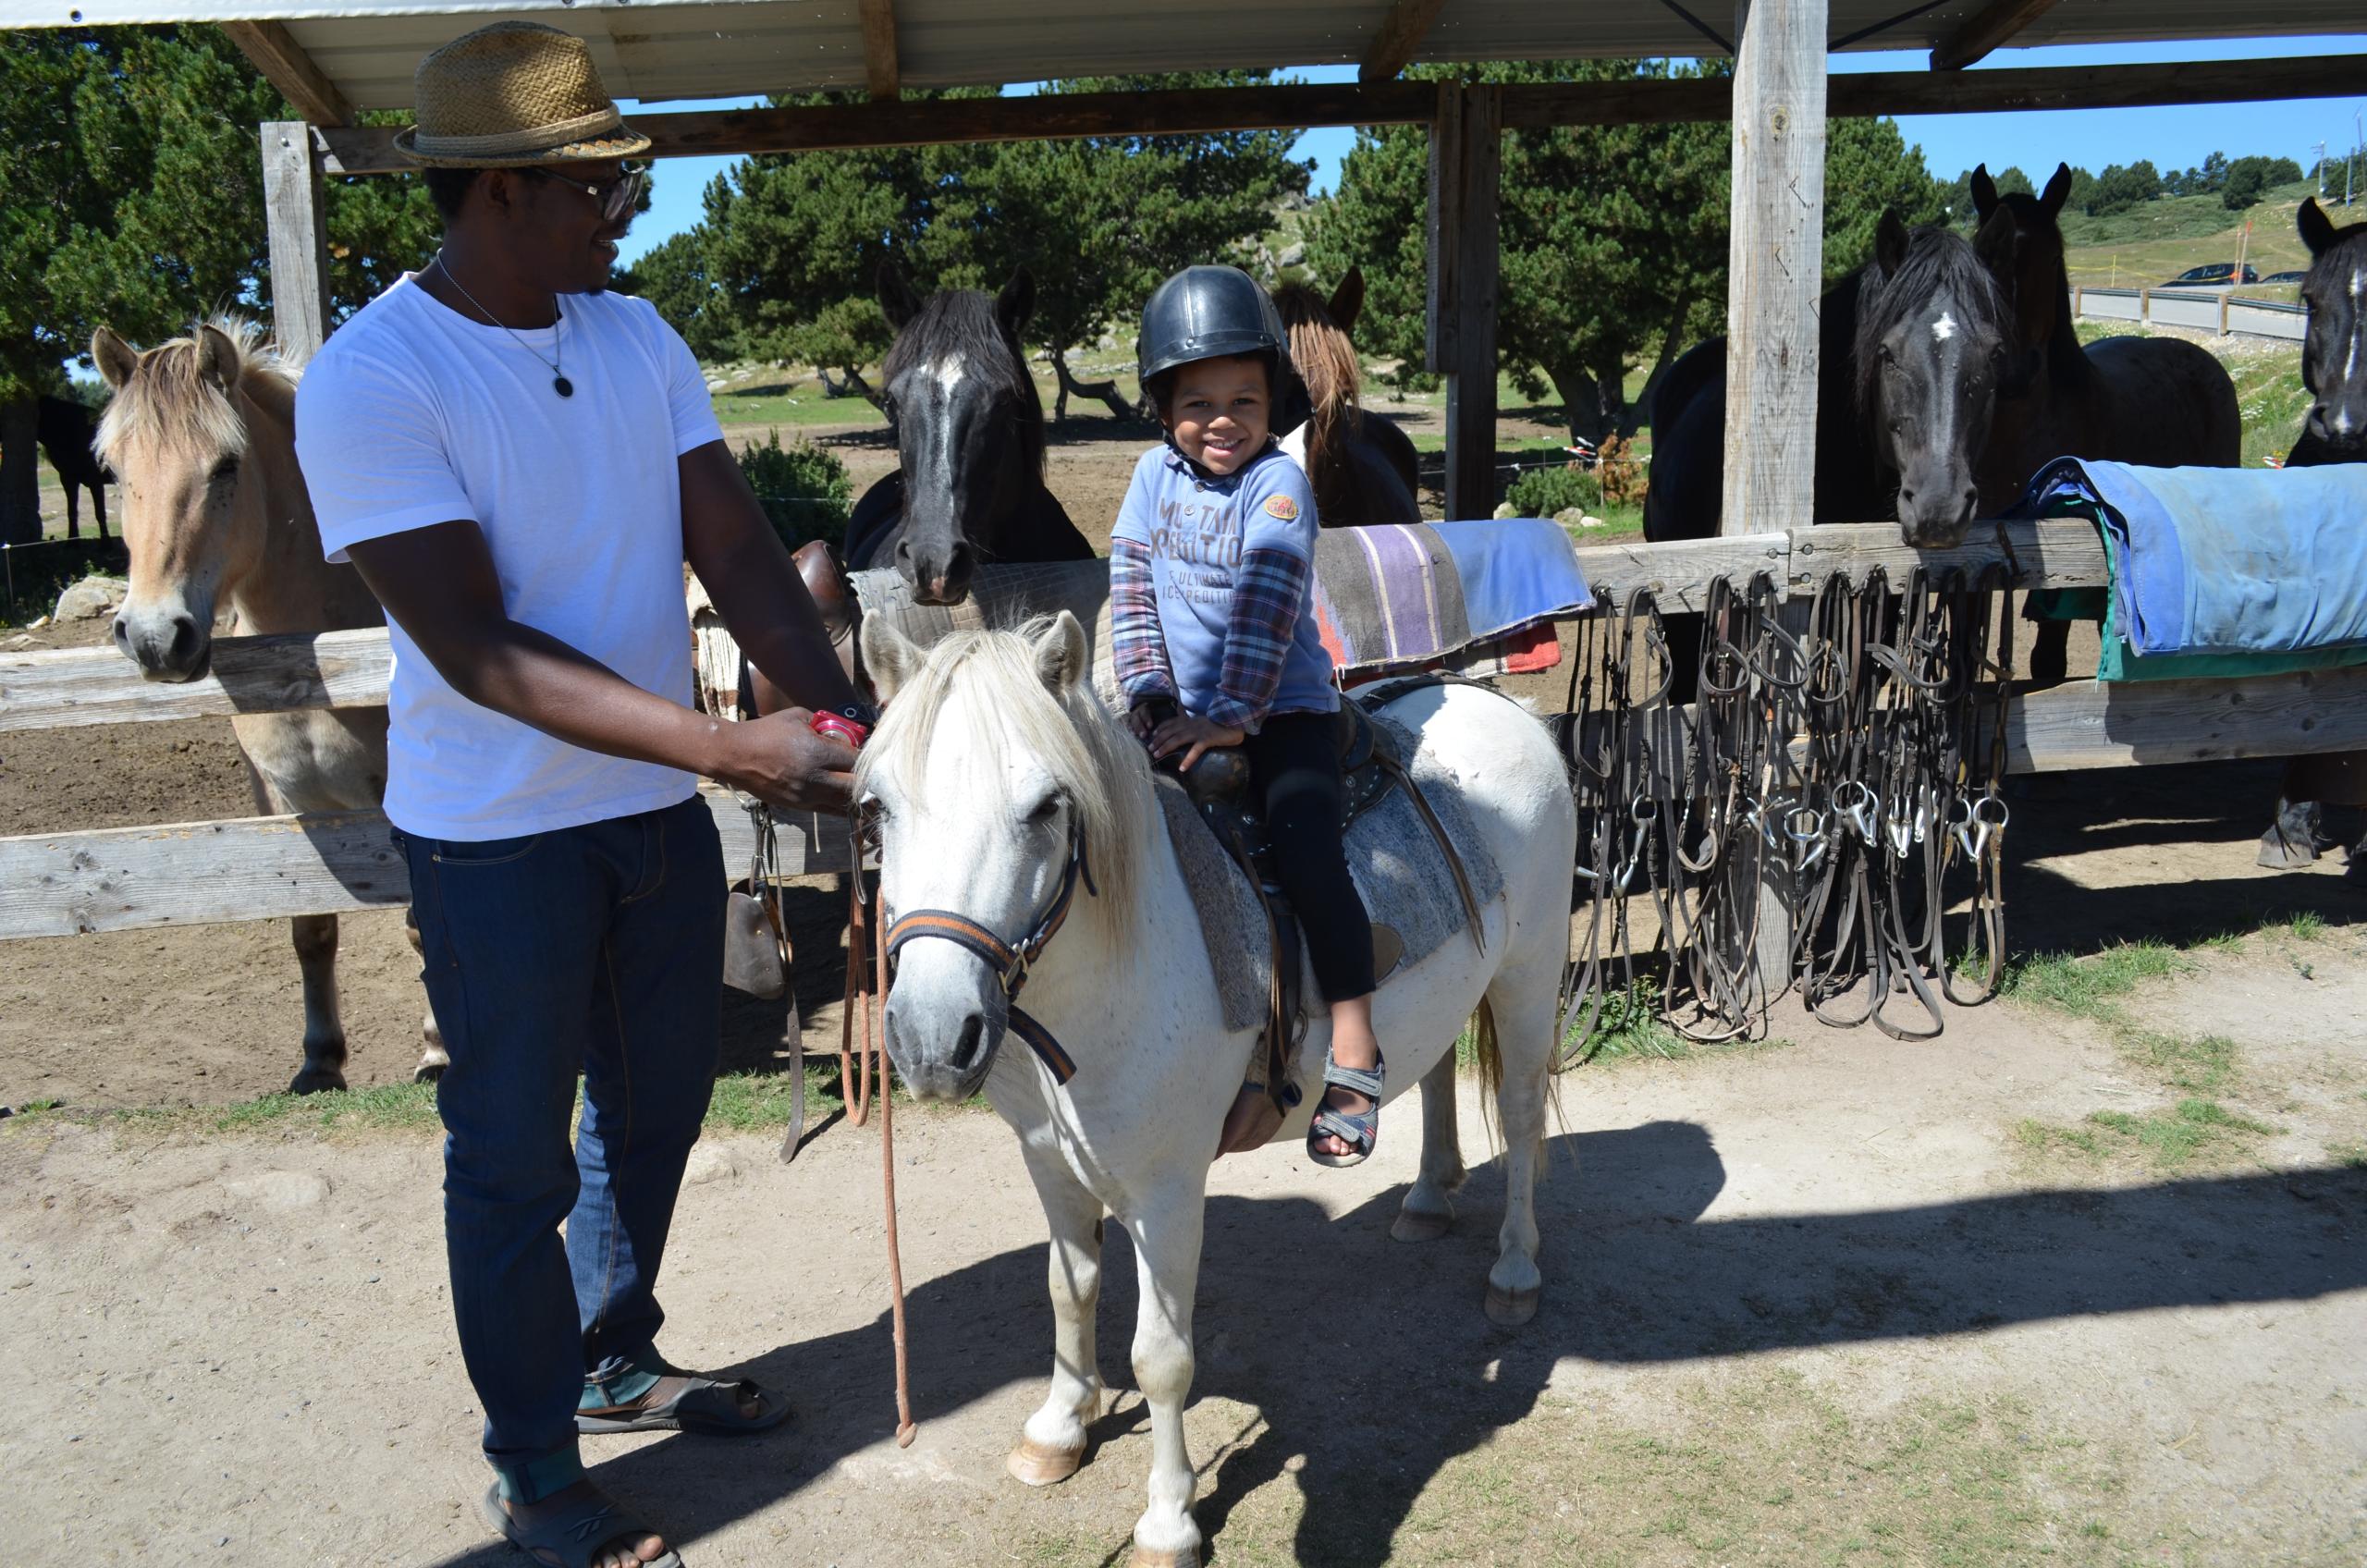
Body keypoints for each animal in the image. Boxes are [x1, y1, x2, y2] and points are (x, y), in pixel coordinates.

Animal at [90, 319, 445, 1094]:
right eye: (115, 471)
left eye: (225, 467)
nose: (155, 637)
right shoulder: (284, 805)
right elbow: (309, 929)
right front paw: (319, 1061)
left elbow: (425, 927)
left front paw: (438, 1052)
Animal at [861, 616, 1581, 1568]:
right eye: (877, 808)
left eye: (1048, 806)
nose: (934, 1038)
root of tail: (1497, 702)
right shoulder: (1049, 1162)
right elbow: (1067, 1289)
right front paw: (1059, 1430)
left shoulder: (1166, 1193)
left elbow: (1162, 1356)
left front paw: (1169, 1519)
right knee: (1433, 1075)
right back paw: (1428, 1198)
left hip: (1529, 978)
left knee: (1527, 1120)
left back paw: (1515, 1269)